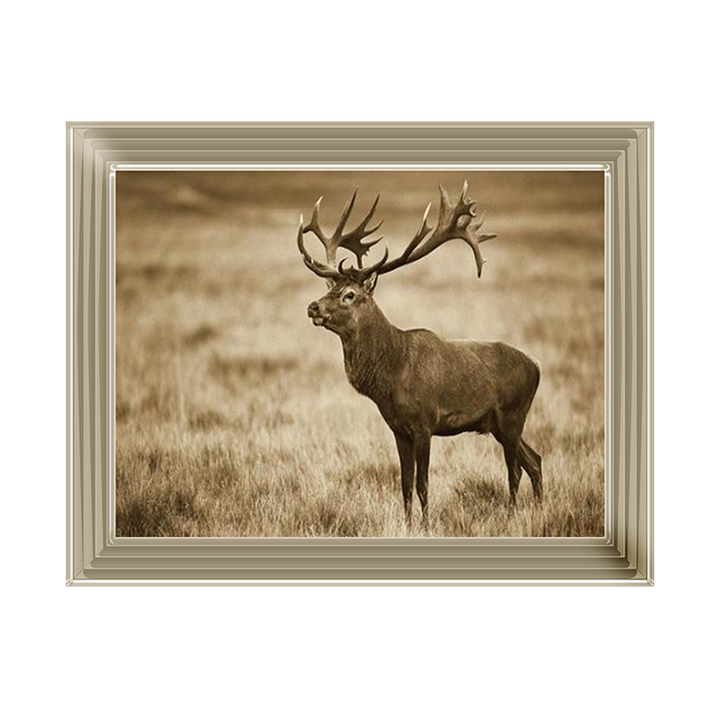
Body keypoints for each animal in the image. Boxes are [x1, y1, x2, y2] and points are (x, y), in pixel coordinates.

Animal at [297, 182, 543, 529]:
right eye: (329, 287)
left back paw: (512, 515)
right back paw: (540, 509)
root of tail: (537, 367)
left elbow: (423, 484)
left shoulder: (425, 422)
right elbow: (404, 484)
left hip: (512, 415)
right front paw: (407, 524)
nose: (313, 307)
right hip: (499, 424)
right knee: (535, 460)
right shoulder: (398, 429)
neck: (390, 376)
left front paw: (425, 526)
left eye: (350, 295)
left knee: (515, 471)